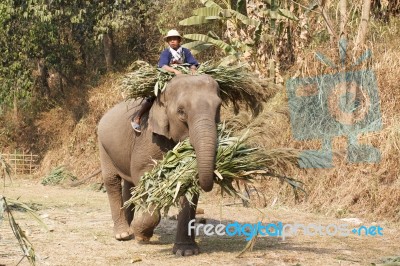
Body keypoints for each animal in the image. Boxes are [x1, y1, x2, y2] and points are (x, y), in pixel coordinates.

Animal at [97, 73, 222, 256]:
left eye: (219, 107)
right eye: (181, 111)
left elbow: (186, 184)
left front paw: (186, 251)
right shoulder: (148, 139)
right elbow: (144, 176)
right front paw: (141, 234)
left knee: (129, 185)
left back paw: (128, 228)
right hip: (103, 146)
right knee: (112, 181)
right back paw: (123, 234)